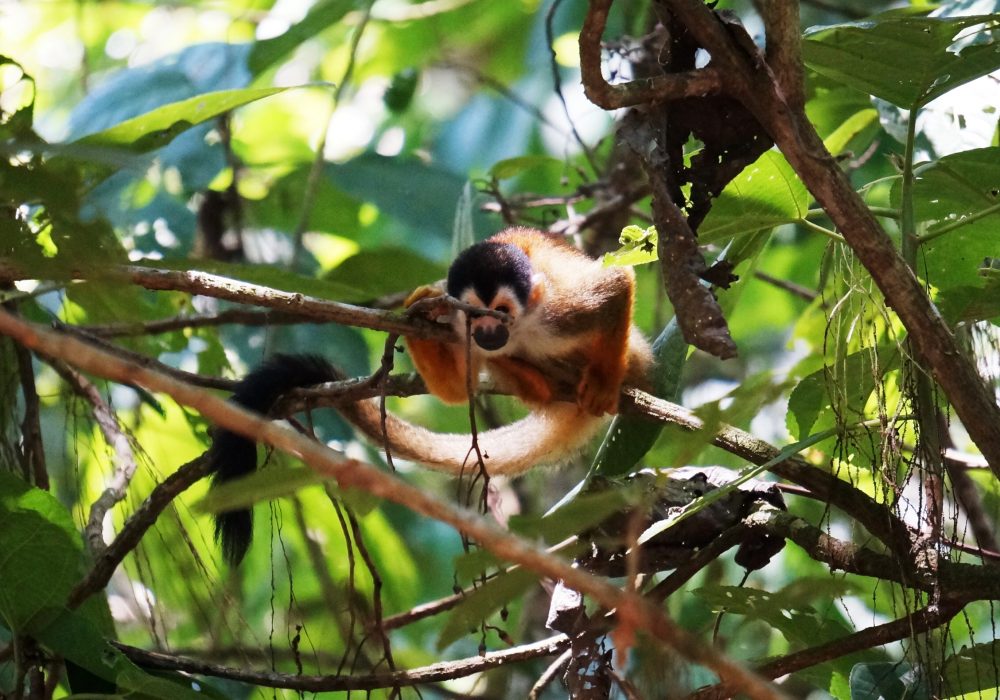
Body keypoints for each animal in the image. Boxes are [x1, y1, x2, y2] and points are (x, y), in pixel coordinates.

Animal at [207, 227, 652, 568]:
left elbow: (618, 283)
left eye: (501, 312)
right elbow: (456, 391)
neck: (523, 327)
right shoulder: (456, 326)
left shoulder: (563, 312)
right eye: (475, 315)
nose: (489, 333)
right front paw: (418, 311)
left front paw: (603, 383)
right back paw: (529, 380)